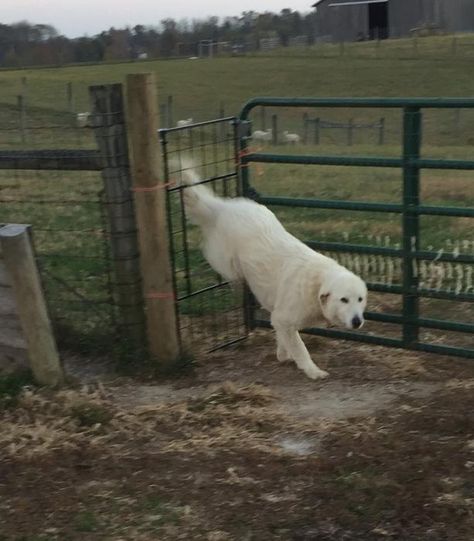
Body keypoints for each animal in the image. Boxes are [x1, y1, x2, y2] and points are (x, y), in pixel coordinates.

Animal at [177, 160, 366, 380]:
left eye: (360, 299)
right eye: (344, 300)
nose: (357, 321)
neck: (316, 283)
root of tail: (225, 206)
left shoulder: (281, 320)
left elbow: (285, 339)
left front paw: (283, 355)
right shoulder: (284, 317)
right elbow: (300, 348)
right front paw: (312, 370)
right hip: (226, 260)